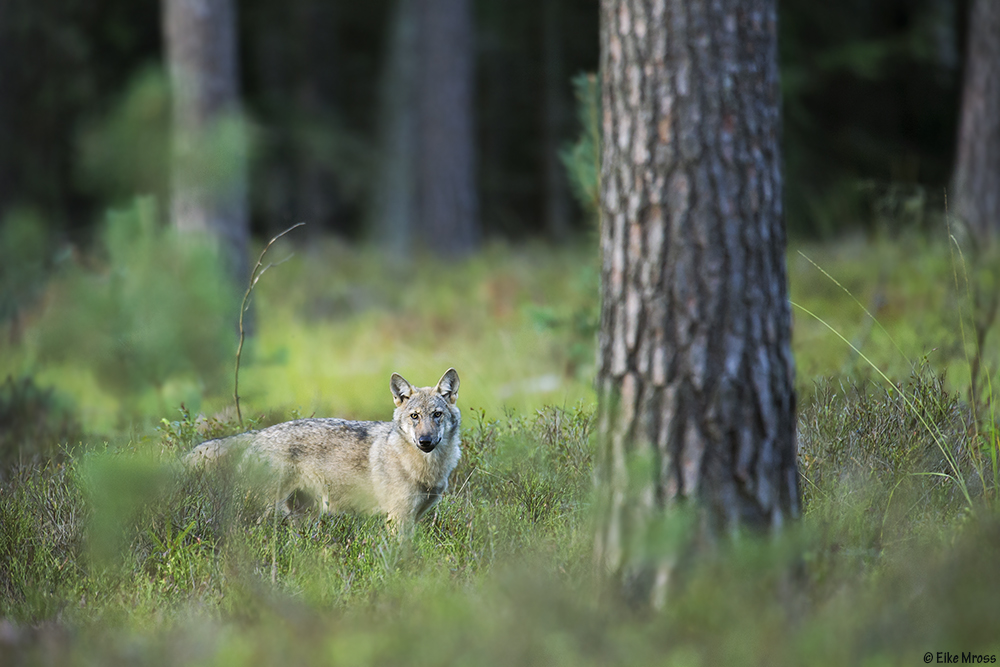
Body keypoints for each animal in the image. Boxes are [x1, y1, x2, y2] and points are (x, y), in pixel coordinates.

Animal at [186, 368, 462, 528]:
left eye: (437, 415)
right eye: (415, 416)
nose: (425, 441)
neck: (427, 469)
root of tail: (257, 434)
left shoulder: (415, 519)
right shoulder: (398, 519)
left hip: (301, 514)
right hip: (270, 510)